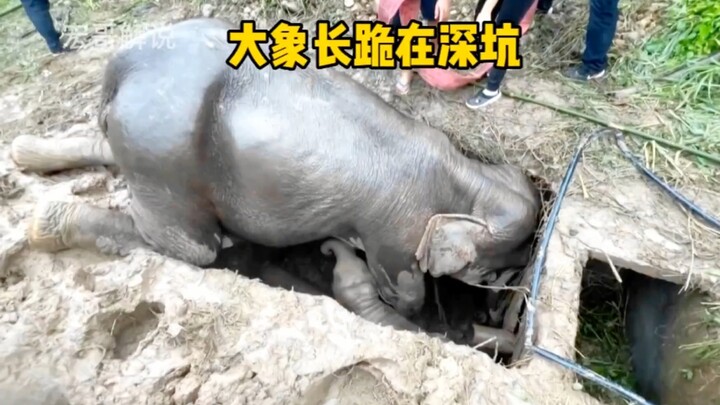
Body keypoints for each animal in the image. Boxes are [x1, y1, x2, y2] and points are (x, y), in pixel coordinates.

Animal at [14, 17, 541, 337]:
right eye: (491, 274)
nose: (494, 313)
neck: (468, 173)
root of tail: (120, 67)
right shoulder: (396, 231)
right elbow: (404, 292)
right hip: (163, 155)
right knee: (196, 249)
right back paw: (45, 221)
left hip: (140, 141)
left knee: (109, 152)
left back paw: (24, 154)